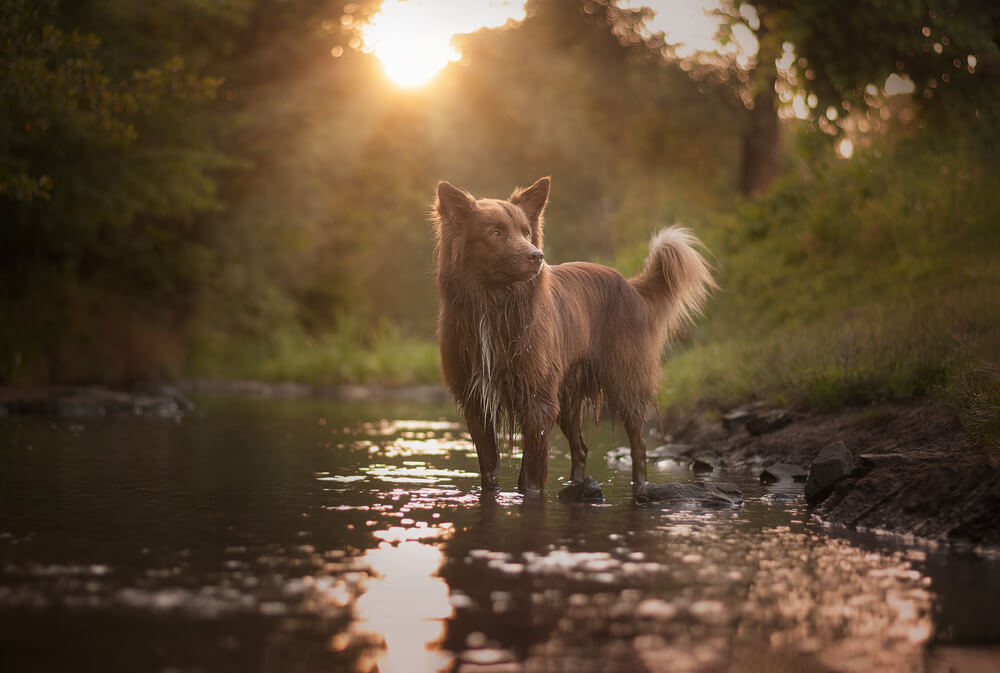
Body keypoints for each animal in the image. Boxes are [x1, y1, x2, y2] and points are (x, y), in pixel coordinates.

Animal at [434, 176, 716, 502]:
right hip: (568, 399)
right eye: (496, 233)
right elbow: (489, 469)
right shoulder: (477, 401)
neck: (494, 305)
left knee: (639, 445)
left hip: (625, 383)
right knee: (581, 449)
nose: (537, 257)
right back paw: (579, 487)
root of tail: (630, 286)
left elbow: (531, 474)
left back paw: (641, 488)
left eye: (526, 232)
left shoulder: (538, 402)